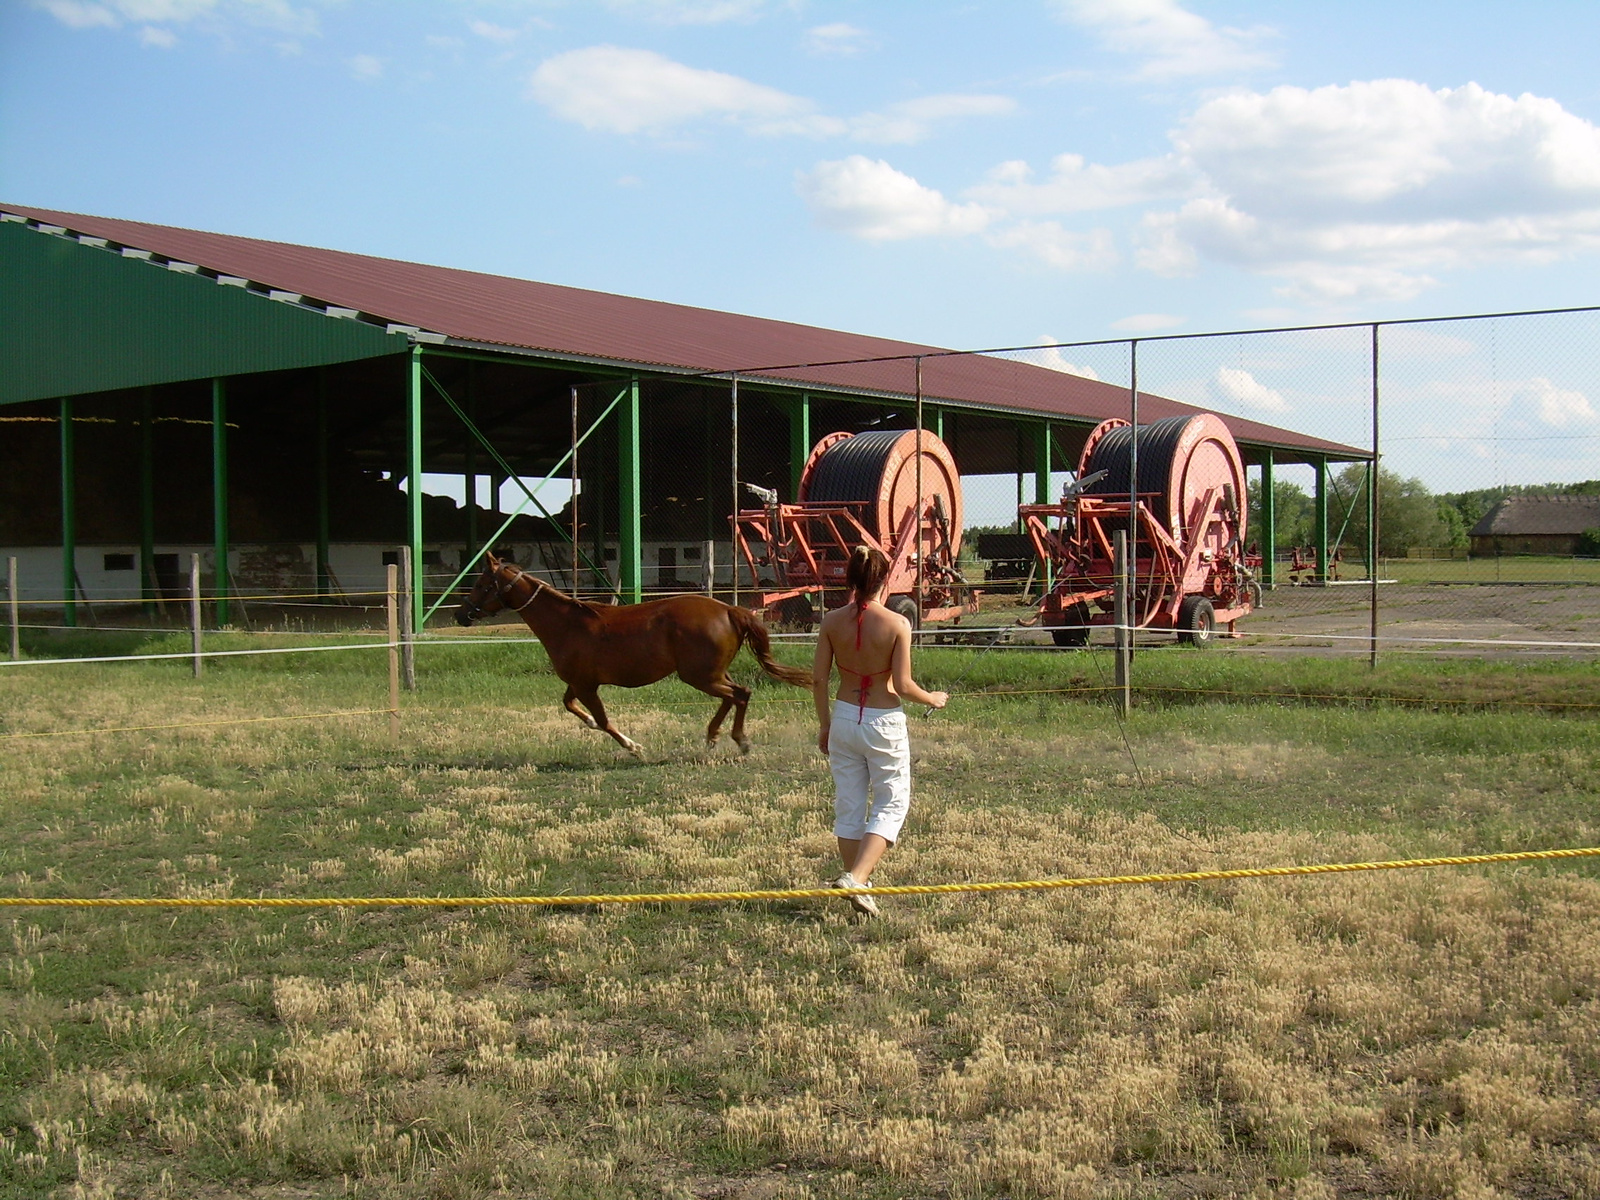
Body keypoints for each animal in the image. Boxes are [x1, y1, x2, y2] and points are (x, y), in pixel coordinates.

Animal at [460, 560, 812, 755]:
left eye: (481, 583)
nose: (463, 614)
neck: (568, 623)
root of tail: (729, 609)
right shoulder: (579, 683)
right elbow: (570, 705)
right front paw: (590, 723)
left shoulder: (587, 686)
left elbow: (603, 720)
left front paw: (633, 747)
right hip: (712, 673)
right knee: (735, 696)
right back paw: (715, 736)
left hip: (700, 676)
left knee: (740, 694)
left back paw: (738, 740)